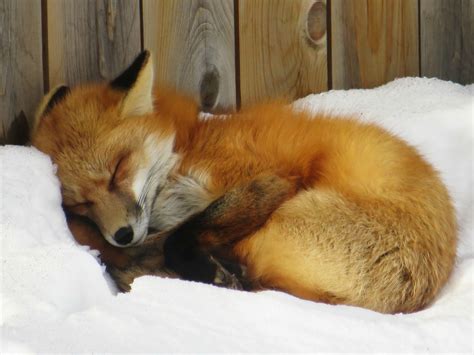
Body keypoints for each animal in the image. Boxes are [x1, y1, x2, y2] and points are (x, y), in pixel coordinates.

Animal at [31, 50, 458, 314]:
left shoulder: (265, 178)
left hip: (283, 216)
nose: (121, 233)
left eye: (118, 169)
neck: (186, 149)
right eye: (79, 203)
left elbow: (178, 239)